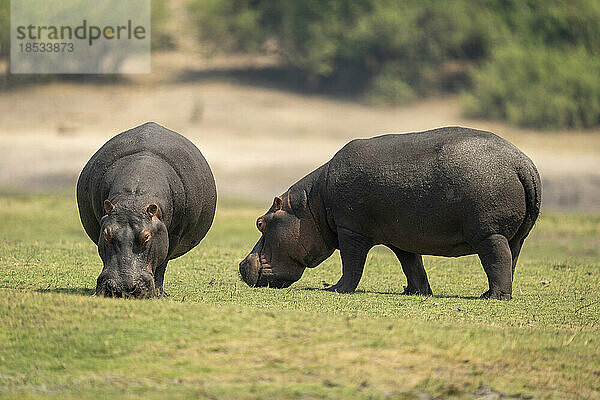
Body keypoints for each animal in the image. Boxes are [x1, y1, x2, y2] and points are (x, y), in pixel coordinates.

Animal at [77, 122, 217, 296]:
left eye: (146, 237)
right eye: (106, 234)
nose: (122, 288)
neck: (134, 199)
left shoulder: (174, 235)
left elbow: (162, 264)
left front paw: (159, 294)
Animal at [240, 126, 544, 298]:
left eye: (260, 223)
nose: (241, 265)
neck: (311, 205)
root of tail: (524, 164)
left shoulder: (351, 229)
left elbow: (352, 264)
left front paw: (335, 289)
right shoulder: (401, 237)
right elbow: (412, 265)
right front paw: (416, 293)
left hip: (488, 233)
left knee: (497, 260)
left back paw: (493, 297)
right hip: (515, 237)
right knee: (509, 261)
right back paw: (489, 293)